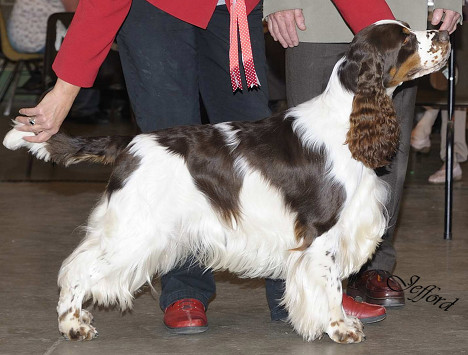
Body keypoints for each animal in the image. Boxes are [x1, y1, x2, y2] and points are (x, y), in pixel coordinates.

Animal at [2, 20, 450, 344]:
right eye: (406, 38)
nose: (445, 33)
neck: (347, 120)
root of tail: (129, 141)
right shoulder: (322, 231)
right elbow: (329, 286)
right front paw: (340, 328)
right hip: (136, 230)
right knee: (77, 268)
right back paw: (72, 325)